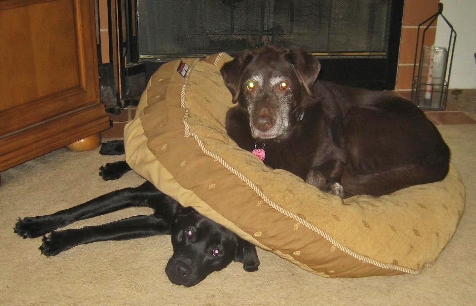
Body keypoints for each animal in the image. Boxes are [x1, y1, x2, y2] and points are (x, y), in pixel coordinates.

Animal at [13, 159, 260, 286]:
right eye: (189, 233)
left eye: (217, 252)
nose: (181, 271)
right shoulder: (131, 194)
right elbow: (77, 210)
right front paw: (36, 225)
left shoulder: (156, 223)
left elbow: (101, 229)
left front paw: (60, 239)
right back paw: (113, 163)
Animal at [219, 45, 450, 198]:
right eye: (250, 86)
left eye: (284, 85)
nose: (262, 124)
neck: (283, 138)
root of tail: (443, 150)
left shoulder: (339, 157)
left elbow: (313, 175)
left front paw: (332, 187)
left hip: (358, 117)